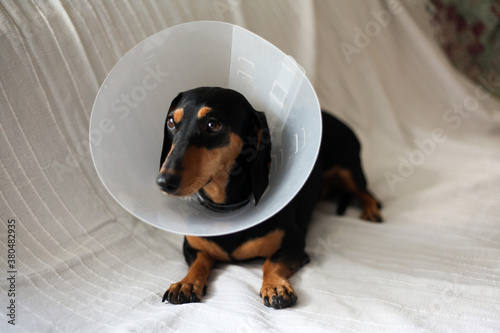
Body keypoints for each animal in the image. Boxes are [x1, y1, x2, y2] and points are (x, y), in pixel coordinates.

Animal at [156, 86, 382, 308]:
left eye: (213, 125)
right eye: (171, 122)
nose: (163, 181)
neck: (227, 209)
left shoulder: (293, 245)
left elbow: (271, 263)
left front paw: (275, 287)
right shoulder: (192, 248)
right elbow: (200, 262)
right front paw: (186, 283)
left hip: (348, 170)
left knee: (367, 193)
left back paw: (371, 211)